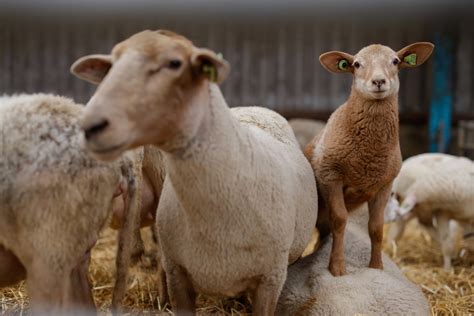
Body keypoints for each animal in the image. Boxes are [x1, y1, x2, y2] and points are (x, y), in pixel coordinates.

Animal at [70, 29, 318, 314]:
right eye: (111, 66)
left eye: (174, 63)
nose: (91, 125)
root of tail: (253, 107)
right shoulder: (178, 273)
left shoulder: (271, 279)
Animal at [306, 42, 436, 276]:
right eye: (357, 64)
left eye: (395, 61)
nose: (378, 81)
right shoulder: (330, 176)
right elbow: (340, 220)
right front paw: (337, 268)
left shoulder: (384, 185)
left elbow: (376, 228)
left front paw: (376, 267)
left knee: (324, 232)